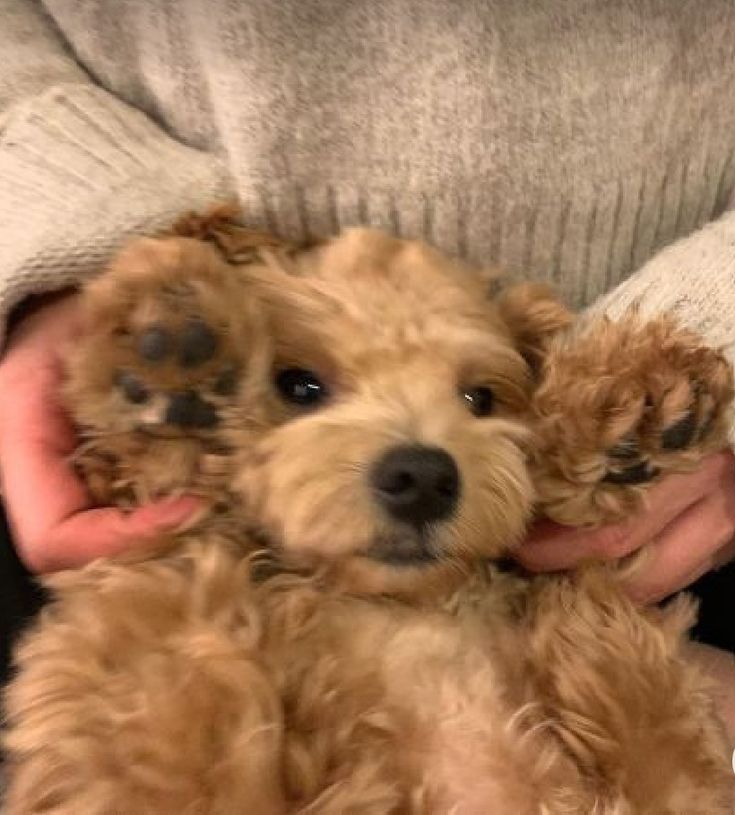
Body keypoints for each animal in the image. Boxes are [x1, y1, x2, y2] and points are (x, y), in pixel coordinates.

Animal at [2, 218, 732, 815]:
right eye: (298, 386)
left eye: (478, 398)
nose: (422, 478)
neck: (403, 612)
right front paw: (169, 358)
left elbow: (669, 761)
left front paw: (626, 404)